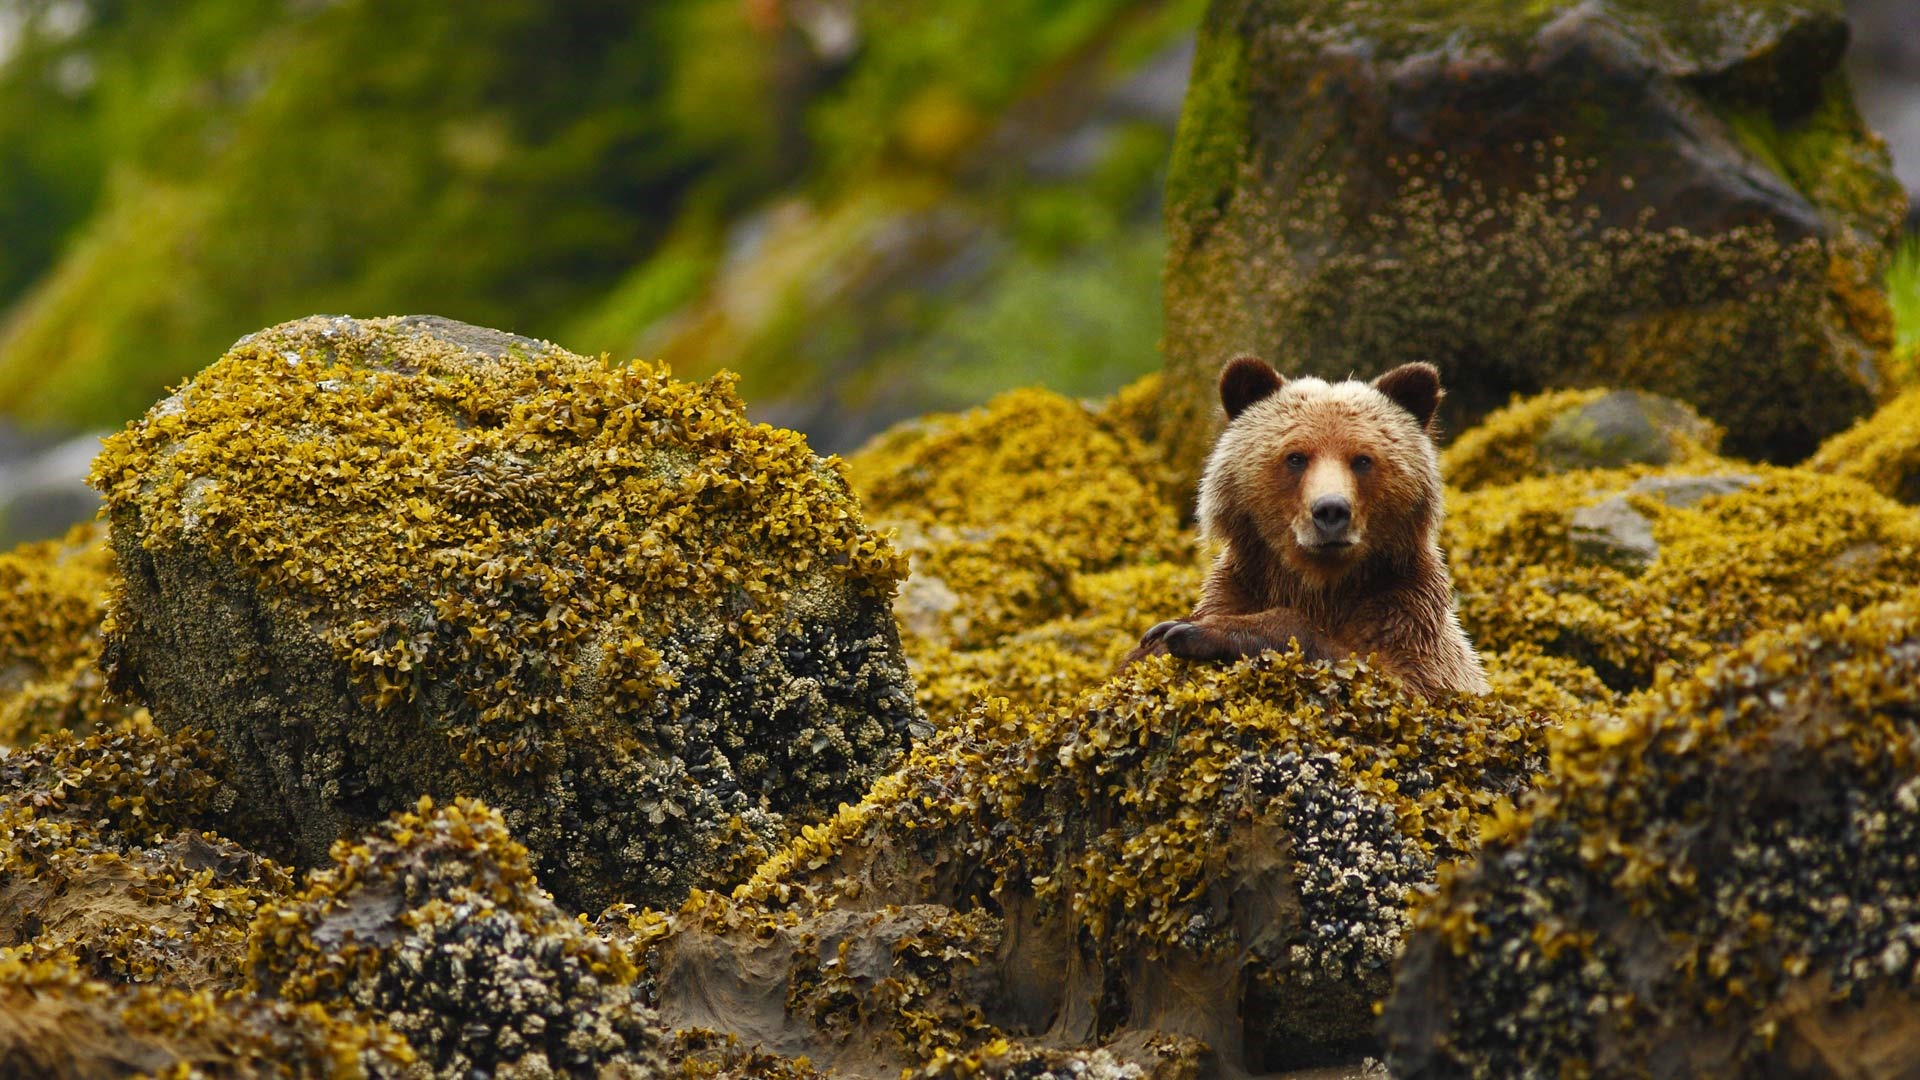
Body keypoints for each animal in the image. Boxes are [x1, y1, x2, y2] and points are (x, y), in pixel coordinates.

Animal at [1128, 351, 1489, 687]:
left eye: (1362, 459)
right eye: (1296, 457)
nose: (1331, 510)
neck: (1321, 586)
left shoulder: (1408, 616)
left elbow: (1388, 673)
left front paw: (1190, 630)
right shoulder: (1241, 585)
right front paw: (1158, 637)